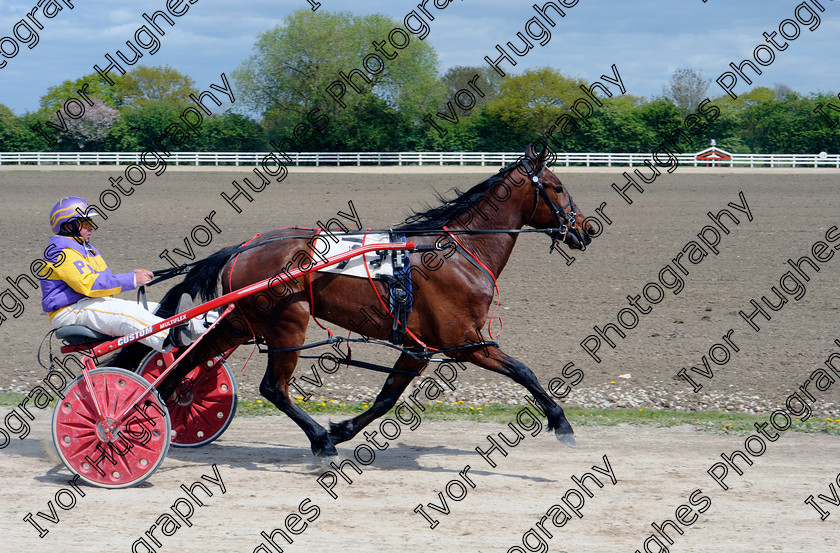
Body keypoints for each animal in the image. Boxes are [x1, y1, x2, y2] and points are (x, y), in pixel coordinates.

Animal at [141, 143, 592, 458]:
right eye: (557, 187)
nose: (586, 228)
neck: (457, 252)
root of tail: (243, 247)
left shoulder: (418, 345)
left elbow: (386, 397)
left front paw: (342, 429)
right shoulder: (464, 341)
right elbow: (525, 372)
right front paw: (562, 423)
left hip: (242, 322)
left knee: (193, 360)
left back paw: (156, 409)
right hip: (287, 324)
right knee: (273, 387)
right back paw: (318, 441)